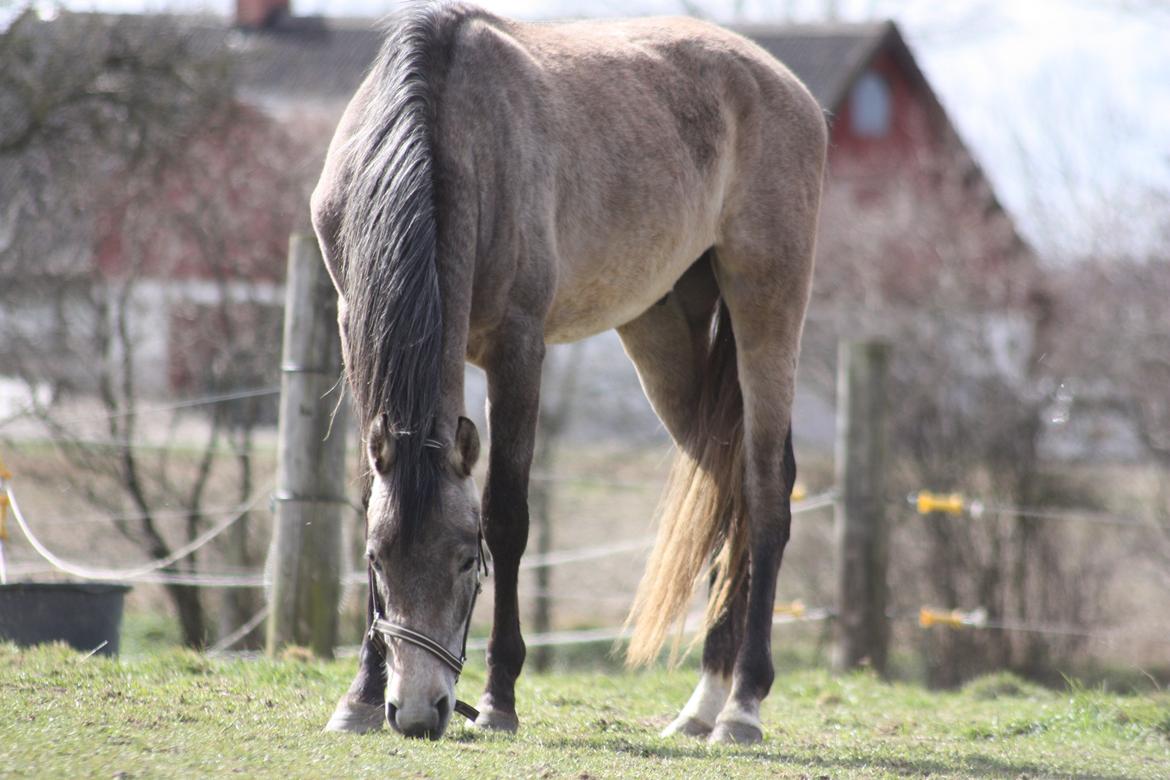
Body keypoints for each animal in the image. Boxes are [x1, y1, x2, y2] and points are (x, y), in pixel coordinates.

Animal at [308, 0, 823, 743]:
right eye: (378, 561)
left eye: (465, 559)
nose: (418, 712)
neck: (444, 129)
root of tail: (784, 85)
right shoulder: (355, 328)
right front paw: (360, 698)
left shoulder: (518, 348)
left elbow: (508, 515)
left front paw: (498, 700)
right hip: (663, 331)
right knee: (723, 490)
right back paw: (702, 704)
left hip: (768, 306)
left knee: (765, 492)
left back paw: (742, 707)